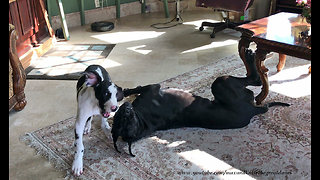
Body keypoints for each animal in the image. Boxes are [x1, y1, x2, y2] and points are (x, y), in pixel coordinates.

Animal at [112, 49, 290, 158]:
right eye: (124, 119)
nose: (126, 108)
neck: (142, 120)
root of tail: (253, 111)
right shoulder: (153, 89)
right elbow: (138, 88)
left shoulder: (152, 88)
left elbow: (135, 88)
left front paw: (122, 92)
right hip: (221, 83)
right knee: (255, 79)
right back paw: (250, 56)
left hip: (221, 83)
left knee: (255, 79)